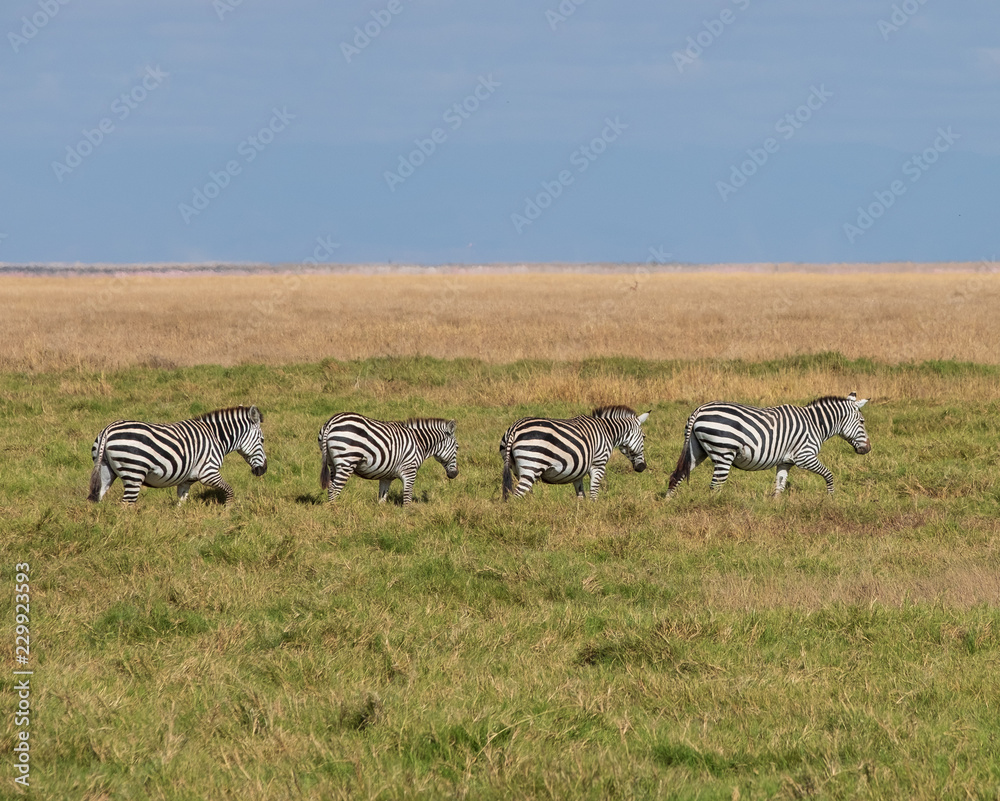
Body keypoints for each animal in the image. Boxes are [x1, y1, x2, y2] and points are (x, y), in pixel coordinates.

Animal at [88, 405, 267, 506]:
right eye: (262, 440)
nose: (263, 470)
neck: (216, 437)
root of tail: (108, 429)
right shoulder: (208, 473)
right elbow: (230, 490)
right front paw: (227, 511)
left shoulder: (186, 480)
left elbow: (181, 502)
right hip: (134, 472)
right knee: (126, 504)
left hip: (105, 469)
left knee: (96, 499)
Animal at [318, 413, 458, 505]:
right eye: (457, 447)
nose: (455, 474)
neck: (419, 442)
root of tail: (331, 421)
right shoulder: (410, 471)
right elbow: (407, 498)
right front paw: (406, 518)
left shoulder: (386, 476)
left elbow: (382, 499)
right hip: (347, 462)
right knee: (334, 489)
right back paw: (335, 512)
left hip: (332, 463)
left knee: (330, 487)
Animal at [500, 405, 651, 501]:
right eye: (644, 437)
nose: (642, 467)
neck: (607, 432)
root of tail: (514, 428)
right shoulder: (598, 464)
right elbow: (594, 493)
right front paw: (594, 512)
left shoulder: (578, 470)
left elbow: (580, 494)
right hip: (532, 465)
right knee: (518, 495)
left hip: (517, 468)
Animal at [667, 392, 871, 497]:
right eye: (862, 422)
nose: (868, 449)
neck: (815, 424)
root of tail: (700, 410)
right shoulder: (805, 456)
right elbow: (829, 475)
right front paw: (830, 498)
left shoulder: (785, 461)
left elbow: (779, 486)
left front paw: (777, 509)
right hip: (724, 452)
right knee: (715, 485)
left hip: (696, 450)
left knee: (677, 475)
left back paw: (669, 503)